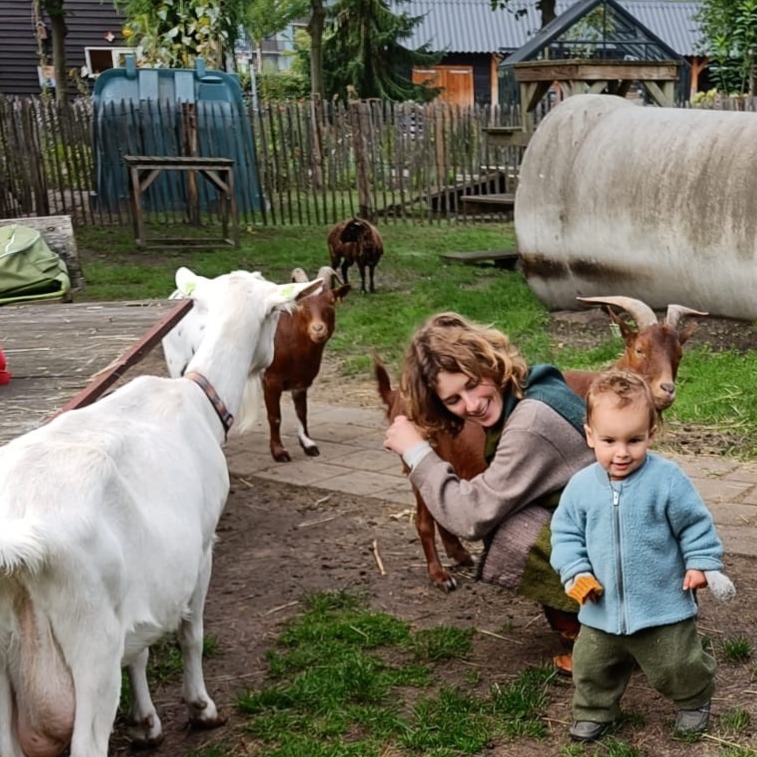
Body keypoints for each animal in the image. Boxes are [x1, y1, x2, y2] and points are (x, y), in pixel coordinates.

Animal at [0, 266, 320, 756]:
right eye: (274, 319)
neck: (199, 395)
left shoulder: (144, 581)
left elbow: (140, 650)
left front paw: (145, 722)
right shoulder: (203, 548)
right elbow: (192, 631)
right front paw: (201, 708)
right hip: (91, 648)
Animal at [262, 266, 352, 460]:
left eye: (331, 302)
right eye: (302, 305)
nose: (318, 329)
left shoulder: (301, 381)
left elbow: (302, 412)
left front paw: (309, 445)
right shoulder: (271, 379)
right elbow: (275, 416)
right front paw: (279, 452)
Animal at [376, 296, 704, 592]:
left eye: (679, 354)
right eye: (639, 349)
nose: (666, 389)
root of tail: (397, 394)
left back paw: (459, 556)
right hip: (414, 464)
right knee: (424, 518)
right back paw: (439, 576)